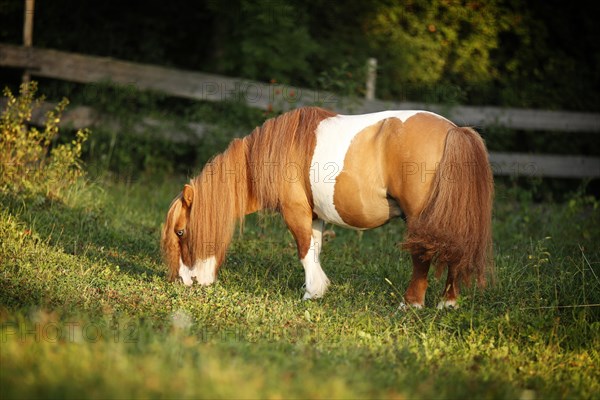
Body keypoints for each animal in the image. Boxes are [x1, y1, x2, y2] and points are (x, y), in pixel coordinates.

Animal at [161, 106, 492, 310]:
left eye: (181, 232)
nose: (183, 282)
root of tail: (454, 131)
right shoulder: (315, 216)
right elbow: (315, 250)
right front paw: (314, 290)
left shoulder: (295, 212)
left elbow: (303, 250)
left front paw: (312, 291)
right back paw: (447, 303)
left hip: (420, 219)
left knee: (422, 256)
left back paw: (411, 303)